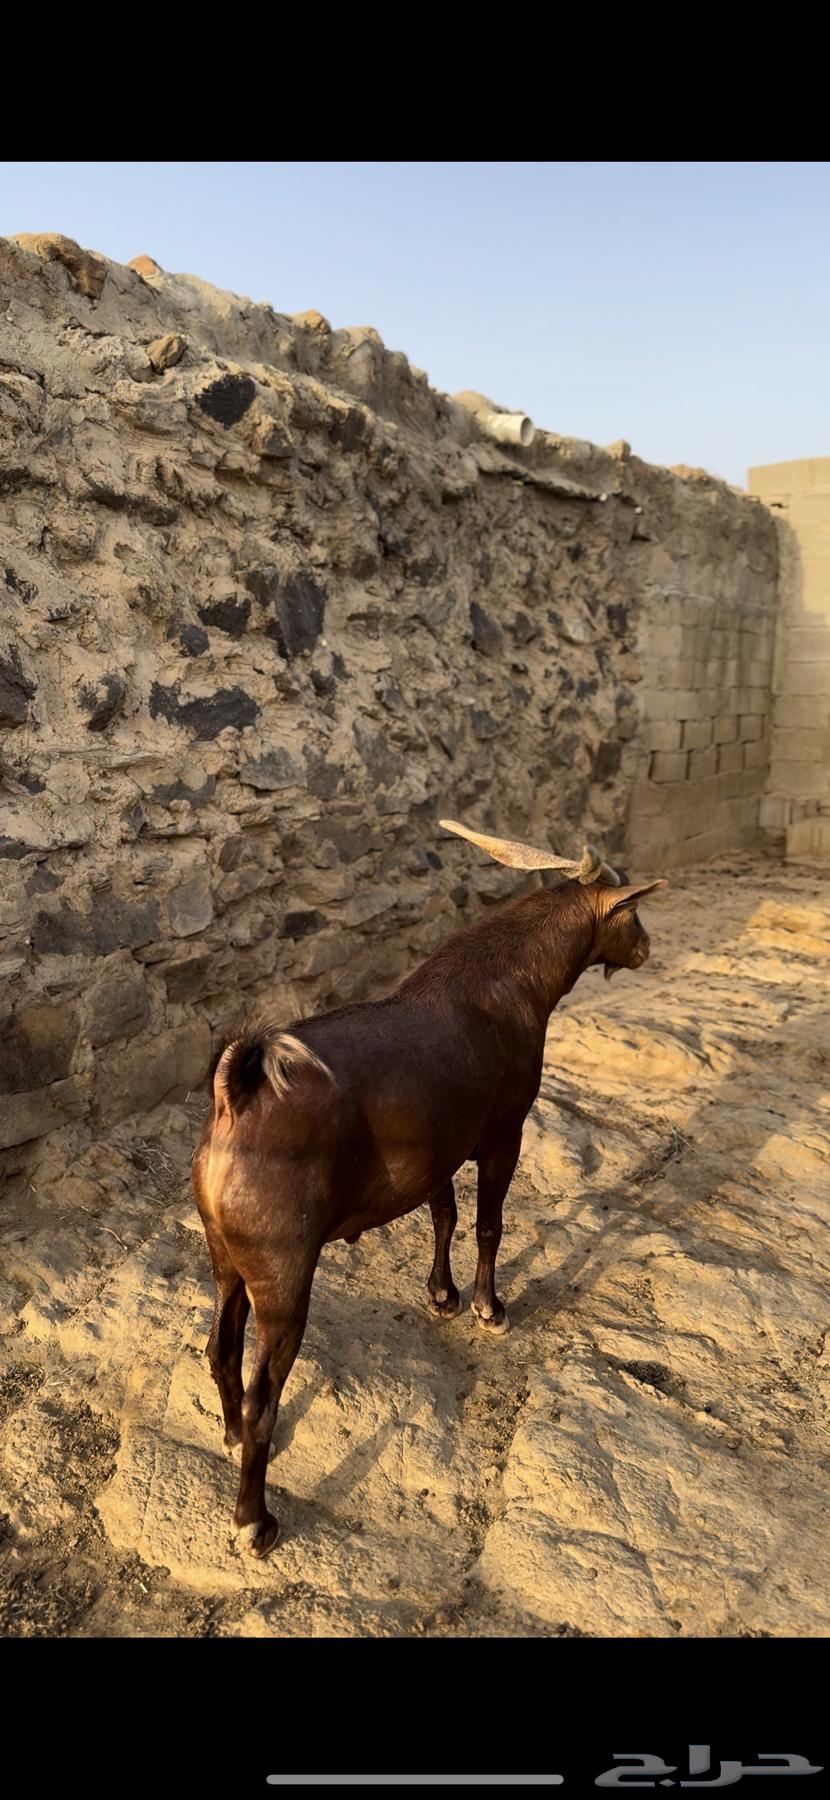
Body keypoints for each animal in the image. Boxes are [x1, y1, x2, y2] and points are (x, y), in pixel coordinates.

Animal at [192, 819, 665, 1557]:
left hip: (225, 1259)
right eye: (631, 912)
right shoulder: (503, 1132)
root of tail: (236, 1099)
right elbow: (488, 1222)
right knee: (265, 1393)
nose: (646, 948)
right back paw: (254, 1521)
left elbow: (443, 1214)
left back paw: (231, 1434)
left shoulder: (437, 1150)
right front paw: (488, 1308)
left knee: (222, 1351)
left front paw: (441, 1296)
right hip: (282, 1278)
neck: (506, 982)